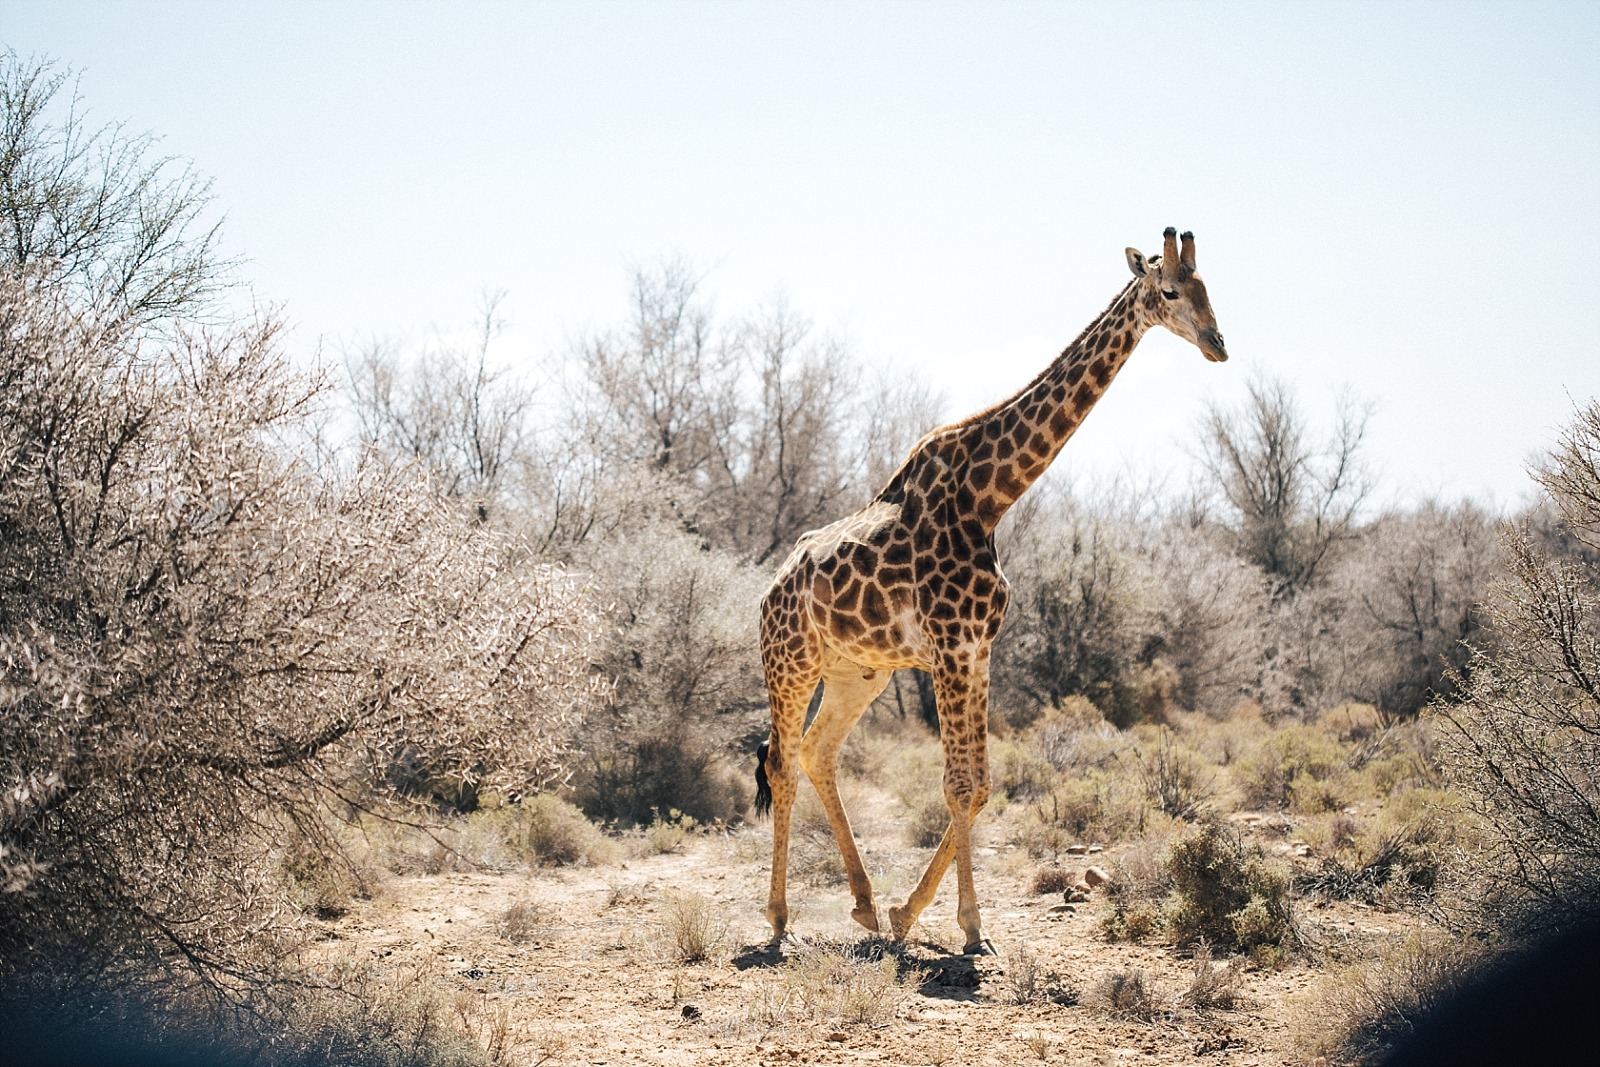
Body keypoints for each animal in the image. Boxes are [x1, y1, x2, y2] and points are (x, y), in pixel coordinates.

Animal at [755, 230, 1228, 953]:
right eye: (1171, 291)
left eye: (1209, 288)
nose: (1217, 343)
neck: (989, 498)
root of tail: (766, 593)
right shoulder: (952, 649)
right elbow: (956, 787)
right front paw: (968, 927)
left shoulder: (977, 649)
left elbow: (978, 787)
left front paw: (913, 916)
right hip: (790, 666)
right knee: (781, 764)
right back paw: (779, 920)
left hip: (855, 672)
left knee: (816, 751)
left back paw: (864, 904)